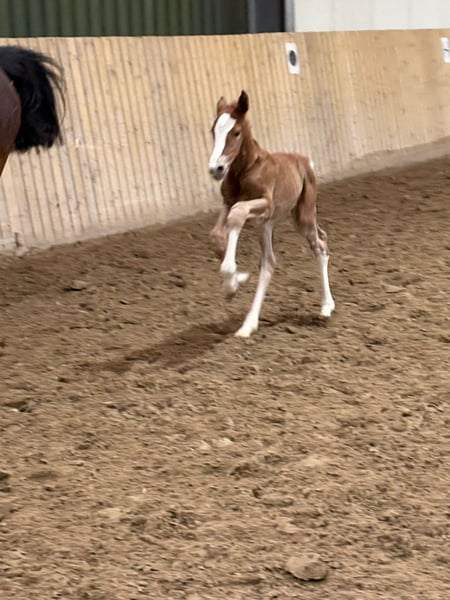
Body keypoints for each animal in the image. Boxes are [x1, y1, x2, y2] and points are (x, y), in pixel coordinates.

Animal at [208, 90, 335, 338]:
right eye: (213, 131)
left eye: (236, 132)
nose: (215, 169)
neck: (246, 169)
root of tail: (305, 161)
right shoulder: (228, 202)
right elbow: (217, 234)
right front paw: (233, 284)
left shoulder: (264, 204)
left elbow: (237, 215)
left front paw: (232, 276)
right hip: (267, 224)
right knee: (269, 262)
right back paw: (248, 324)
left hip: (302, 215)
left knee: (320, 245)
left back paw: (326, 306)